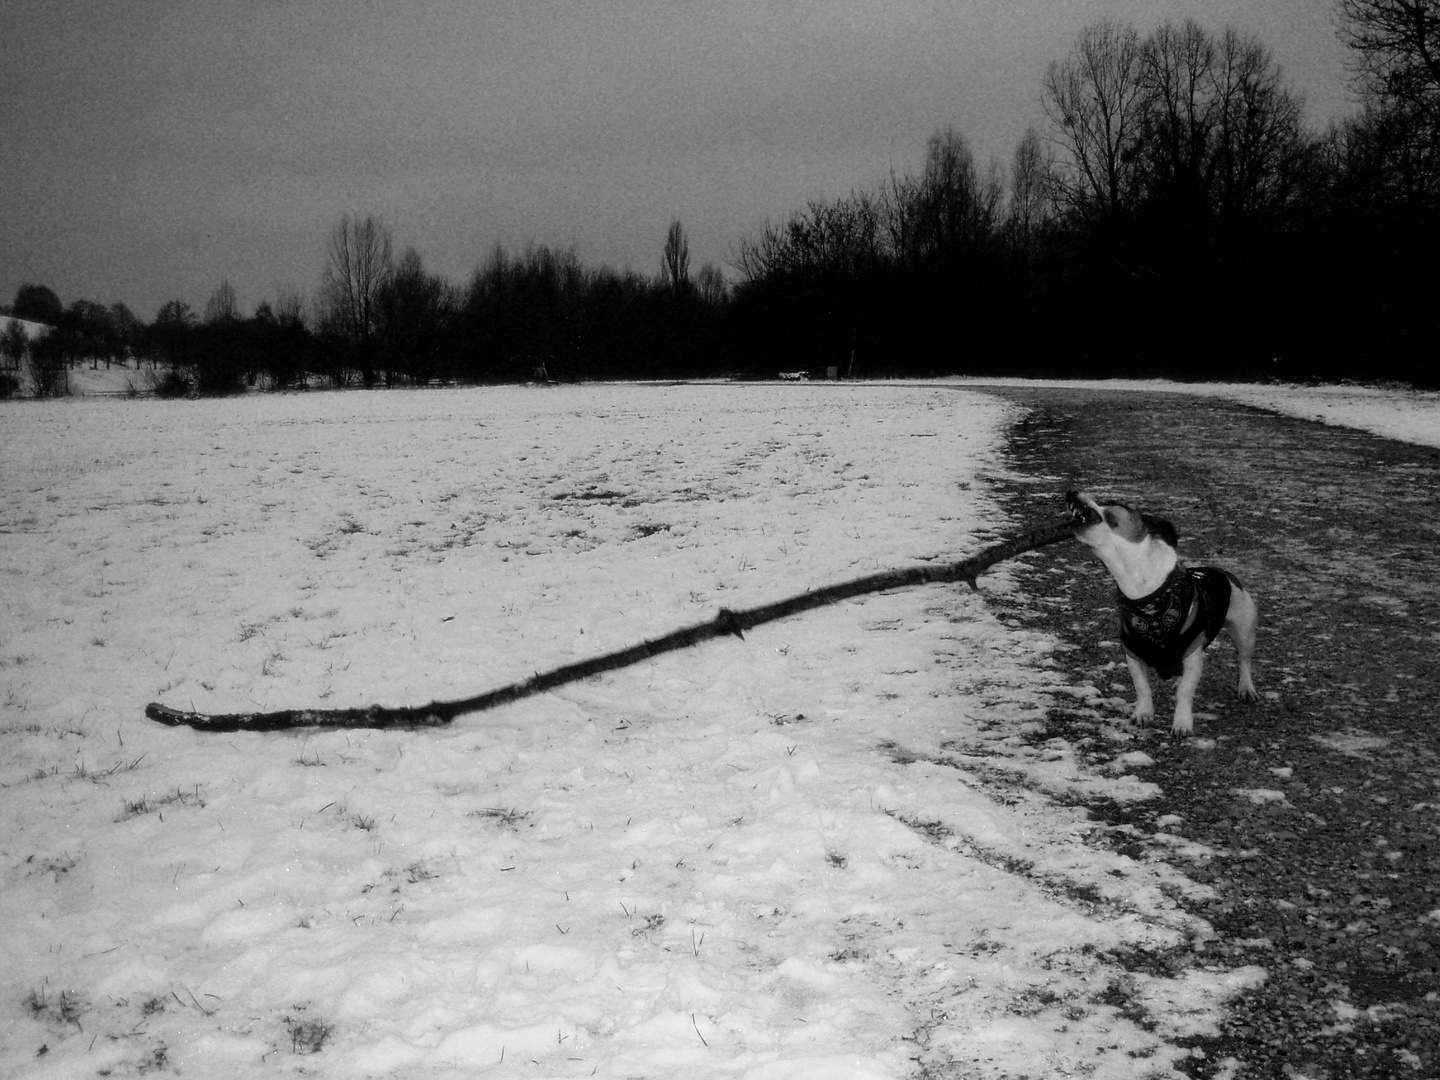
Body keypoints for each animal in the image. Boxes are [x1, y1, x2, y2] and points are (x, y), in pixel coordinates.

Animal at [1065, 495, 1255, 743]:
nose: (1071, 493)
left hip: (1244, 631)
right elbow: (1142, 687)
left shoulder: (1192, 655)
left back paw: (1246, 688)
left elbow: (1185, 692)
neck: (1147, 597)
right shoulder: (1133, 654)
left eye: (1113, 505)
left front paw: (1182, 723)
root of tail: (1226, 574)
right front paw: (1143, 714)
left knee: (1244, 660)